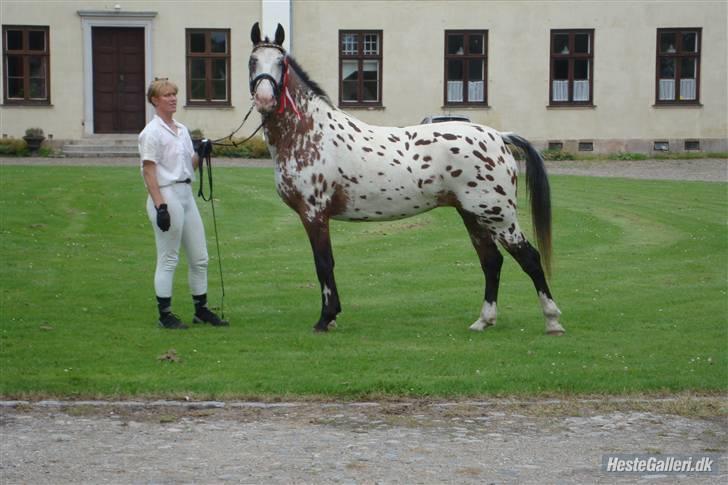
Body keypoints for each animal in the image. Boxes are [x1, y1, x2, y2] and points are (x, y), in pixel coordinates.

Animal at [247, 22, 564, 332]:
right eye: (252, 61)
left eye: (281, 62)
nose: (264, 99)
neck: (311, 133)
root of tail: (499, 136)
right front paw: (331, 315)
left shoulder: (314, 213)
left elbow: (323, 264)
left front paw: (326, 318)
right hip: (473, 215)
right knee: (491, 261)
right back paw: (483, 320)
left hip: (498, 216)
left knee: (529, 258)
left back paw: (552, 320)